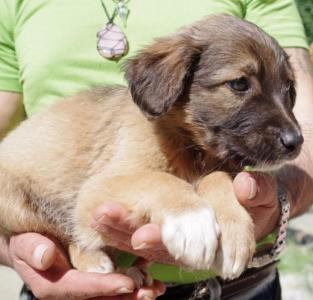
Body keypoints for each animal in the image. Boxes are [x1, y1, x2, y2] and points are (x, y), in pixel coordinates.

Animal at [0, 14, 302, 282]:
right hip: (22, 206)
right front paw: (193, 222)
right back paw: (94, 261)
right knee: (66, 234)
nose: (295, 142)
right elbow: (158, 179)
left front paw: (233, 232)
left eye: (289, 88)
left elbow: (217, 178)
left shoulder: (218, 168)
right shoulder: (97, 187)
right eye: (239, 83)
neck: (193, 148)